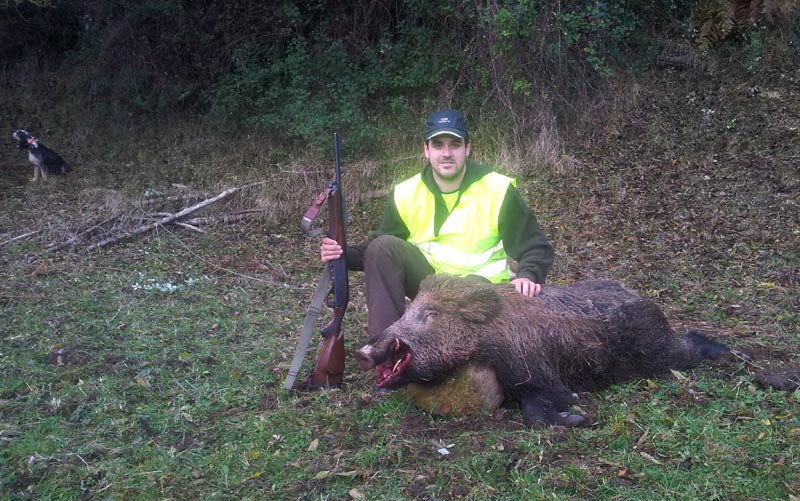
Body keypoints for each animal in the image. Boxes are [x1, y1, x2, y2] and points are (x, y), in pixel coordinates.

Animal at [354, 275, 732, 427]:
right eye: (410, 308)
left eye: (431, 314)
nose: (363, 352)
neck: (486, 340)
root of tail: (640, 296)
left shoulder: (537, 370)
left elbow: (538, 408)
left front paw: (579, 418)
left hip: (657, 351)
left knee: (688, 344)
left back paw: (728, 354)